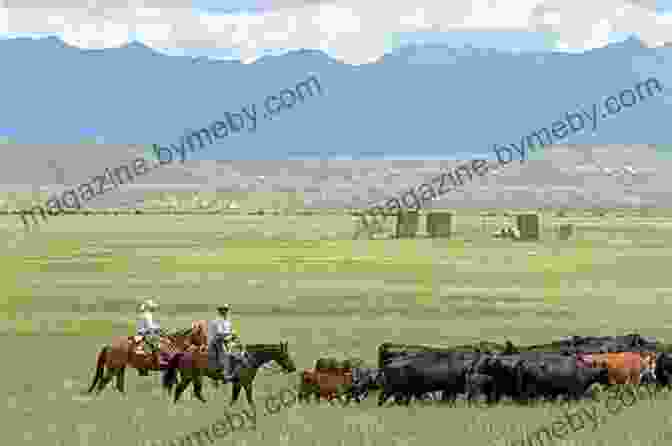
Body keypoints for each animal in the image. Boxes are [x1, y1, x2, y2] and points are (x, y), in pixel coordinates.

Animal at [161, 342, 296, 408]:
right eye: (285, 355)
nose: (293, 368)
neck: (249, 359)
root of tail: (183, 353)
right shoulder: (246, 383)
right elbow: (249, 399)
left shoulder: (237, 383)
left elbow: (234, 398)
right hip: (191, 377)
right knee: (183, 390)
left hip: (193, 377)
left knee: (191, 391)